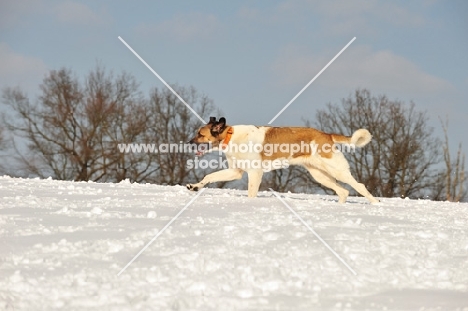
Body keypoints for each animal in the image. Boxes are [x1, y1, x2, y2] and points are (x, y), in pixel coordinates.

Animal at [185, 117, 378, 205]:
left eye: (200, 134)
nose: (188, 143)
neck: (230, 137)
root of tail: (326, 134)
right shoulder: (236, 172)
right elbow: (209, 177)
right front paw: (195, 186)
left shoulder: (255, 173)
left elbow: (251, 193)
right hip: (320, 175)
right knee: (343, 191)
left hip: (336, 170)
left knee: (359, 186)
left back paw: (375, 203)